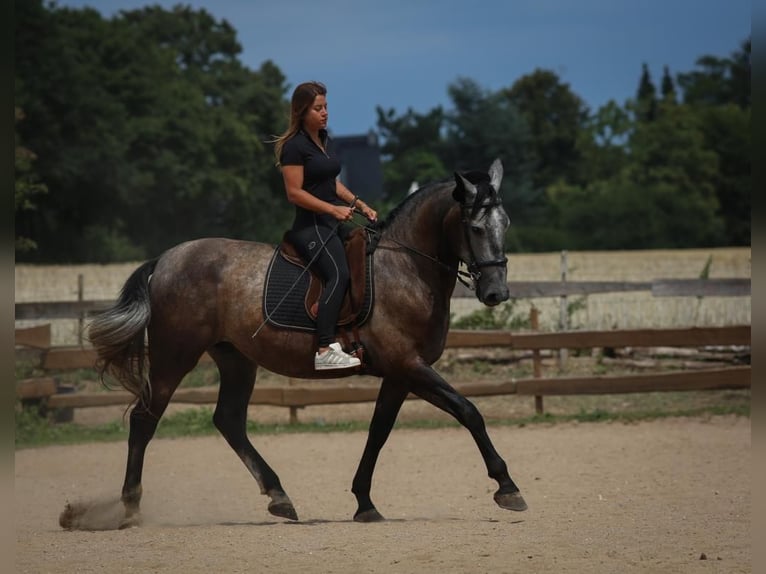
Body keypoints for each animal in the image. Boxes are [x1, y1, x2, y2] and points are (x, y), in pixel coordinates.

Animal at [76, 159, 528, 532]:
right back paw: (130, 508)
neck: (406, 267)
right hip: (174, 356)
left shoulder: (401, 374)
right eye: (476, 228)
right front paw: (507, 487)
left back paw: (279, 497)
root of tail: (166, 260)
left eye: (506, 223)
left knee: (228, 421)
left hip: (236, 360)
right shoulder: (410, 366)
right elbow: (469, 412)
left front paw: (364, 503)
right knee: (145, 419)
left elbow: (379, 432)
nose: (497, 292)